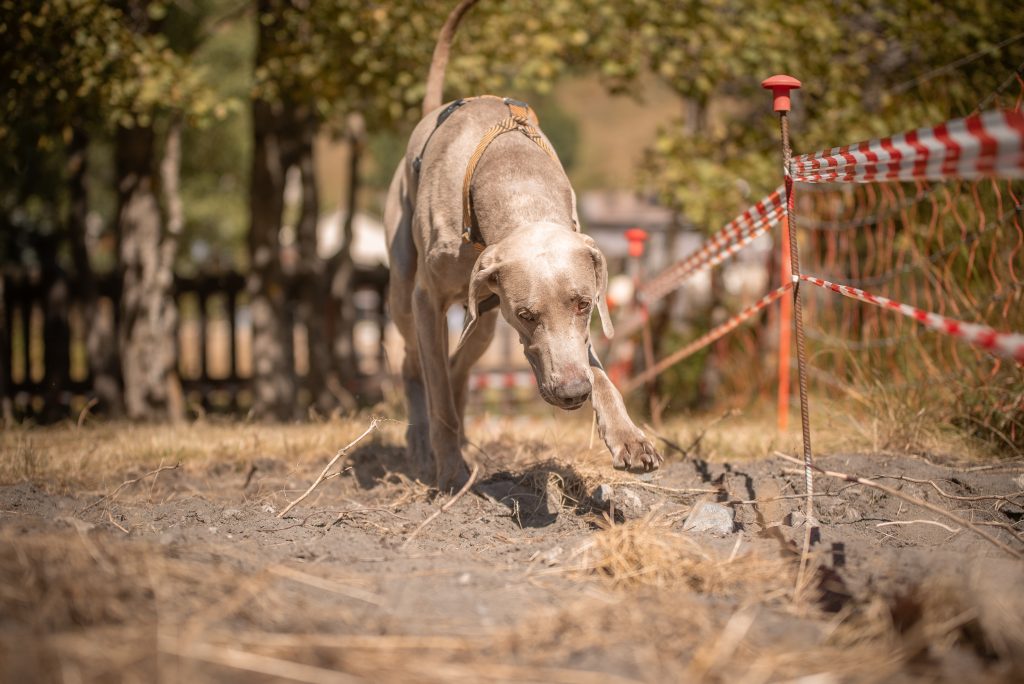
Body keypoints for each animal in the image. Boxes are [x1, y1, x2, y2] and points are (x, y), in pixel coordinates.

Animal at [385, 0, 663, 485]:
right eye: (527, 315)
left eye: (584, 305)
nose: (572, 392)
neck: (516, 182)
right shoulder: (428, 300)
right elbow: (437, 391)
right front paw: (450, 469)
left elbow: (599, 369)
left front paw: (628, 436)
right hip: (404, 290)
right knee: (415, 365)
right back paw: (422, 448)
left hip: (481, 319)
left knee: (459, 367)